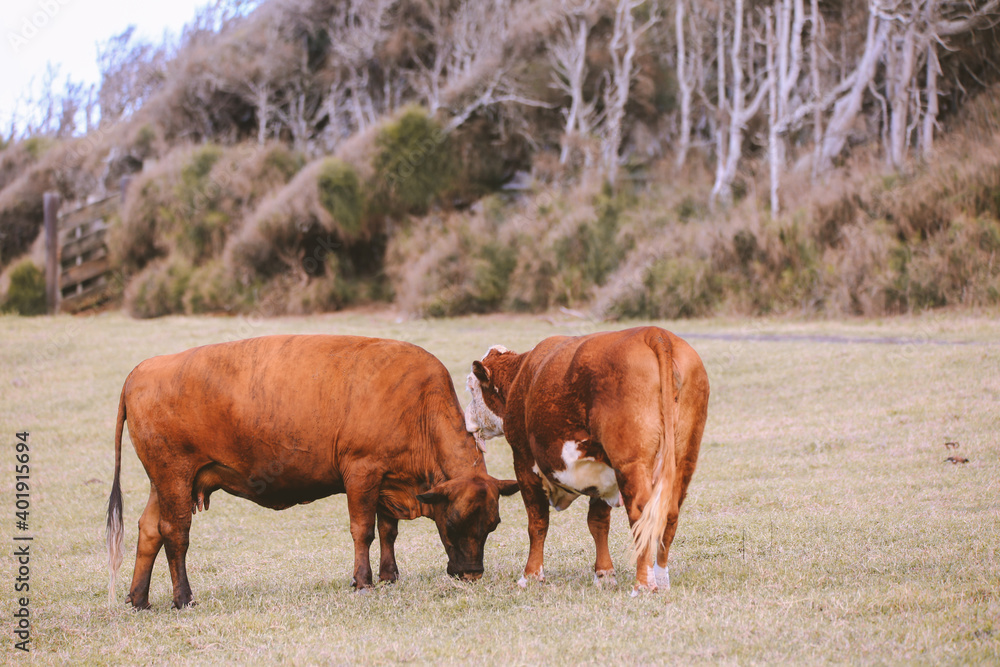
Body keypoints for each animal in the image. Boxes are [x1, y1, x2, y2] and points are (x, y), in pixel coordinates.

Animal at [105, 334, 520, 612]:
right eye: (453, 521)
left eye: (493, 524)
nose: (472, 573)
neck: (417, 404)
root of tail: (142, 370)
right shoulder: (361, 472)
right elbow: (363, 530)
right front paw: (363, 582)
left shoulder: (386, 479)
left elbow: (388, 530)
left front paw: (389, 575)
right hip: (174, 478)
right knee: (175, 534)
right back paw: (184, 598)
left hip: (165, 483)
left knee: (150, 530)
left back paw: (139, 599)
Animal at [464, 328, 708, 596]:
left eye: (471, 388)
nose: (466, 419)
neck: (522, 376)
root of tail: (653, 333)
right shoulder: (602, 471)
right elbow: (598, 522)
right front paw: (604, 574)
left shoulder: (524, 461)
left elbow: (537, 522)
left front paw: (531, 575)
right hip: (684, 459)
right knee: (669, 513)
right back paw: (661, 581)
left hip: (631, 464)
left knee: (642, 514)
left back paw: (643, 585)